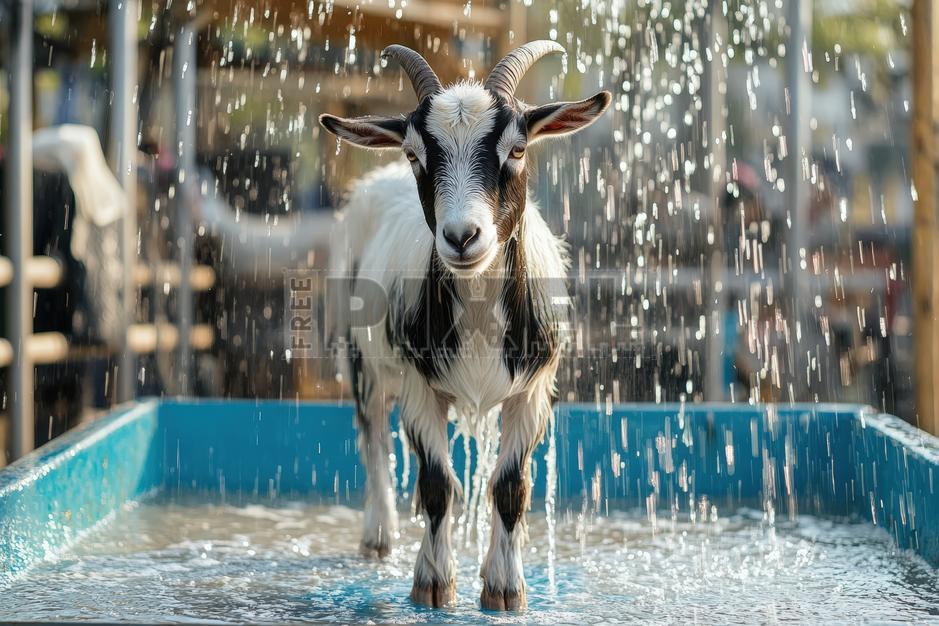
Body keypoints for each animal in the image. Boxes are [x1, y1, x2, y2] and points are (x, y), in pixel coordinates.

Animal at [320, 41, 611, 611]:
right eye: (414, 154)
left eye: (517, 149)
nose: (461, 237)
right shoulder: (420, 385)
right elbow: (437, 483)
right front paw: (433, 585)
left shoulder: (532, 389)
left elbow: (509, 486)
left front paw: (503, 588)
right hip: (358, 354)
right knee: (373, 439)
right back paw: (378, 538)